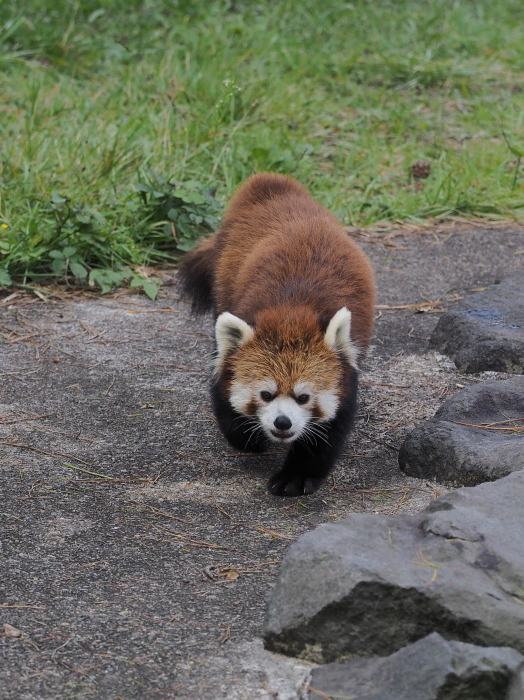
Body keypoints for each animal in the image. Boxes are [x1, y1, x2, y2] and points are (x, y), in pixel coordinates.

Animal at [178, 172, 374, 494]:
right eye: (265, 394)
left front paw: (296, 476)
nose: (283, 423)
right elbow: (225, 394)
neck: (291, 313)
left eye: (304, 397)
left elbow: (329, 429)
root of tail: (272, 184)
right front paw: (249, 437)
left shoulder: (346, 369)